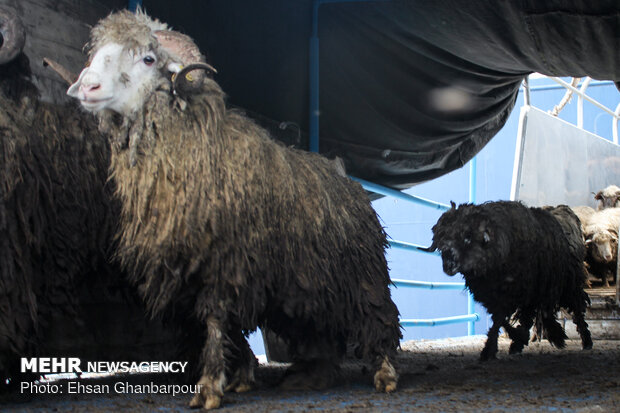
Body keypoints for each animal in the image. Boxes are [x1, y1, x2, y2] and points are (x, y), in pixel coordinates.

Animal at [426, 201, 592, 358]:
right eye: (442, 240)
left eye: (467, 238)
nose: (448, 265)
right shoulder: (495, 296)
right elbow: (500, 319)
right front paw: (513, 339)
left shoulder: (514, 292)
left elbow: (501, 318)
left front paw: (490, 350)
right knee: (539, 314)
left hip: (568, 285)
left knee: (576, 310)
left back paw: (585, 342)